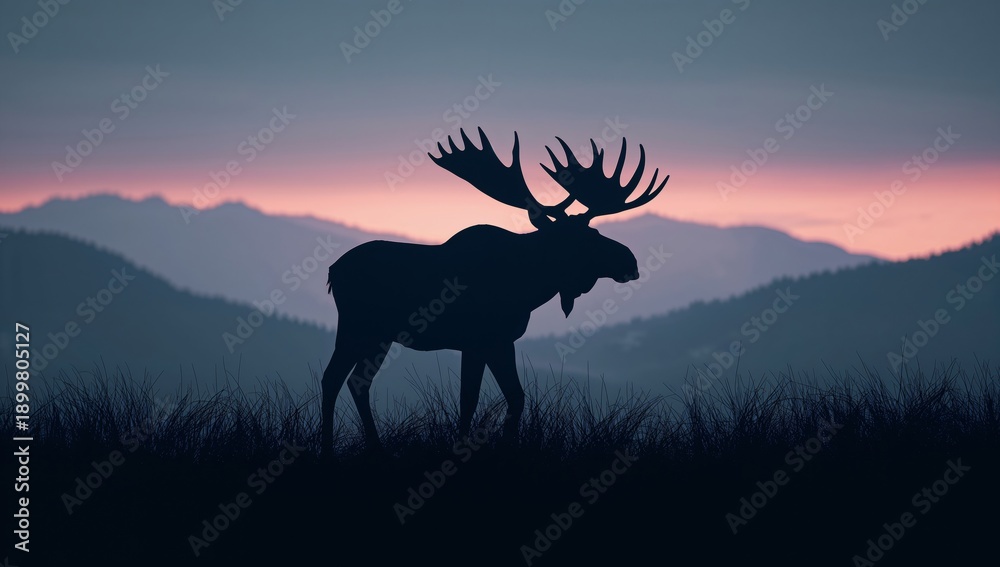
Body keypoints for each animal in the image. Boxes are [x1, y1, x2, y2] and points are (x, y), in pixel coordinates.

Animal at [321, 128, 668, 451]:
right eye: (588, 238)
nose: (630, 259)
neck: (529, 285)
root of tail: (332, 271)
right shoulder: (479, 341)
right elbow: (473, 400)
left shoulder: (500, 340)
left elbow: (512, 396)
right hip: (359, 328)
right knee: (335, 379)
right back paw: (333, 448)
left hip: (374, 336)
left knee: (353, 381)